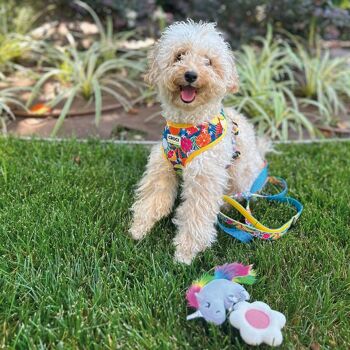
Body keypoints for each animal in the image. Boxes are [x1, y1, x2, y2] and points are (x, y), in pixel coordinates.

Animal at [130, 20, 266, 264]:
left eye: (208, 61)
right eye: (179, 55)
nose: (190, 75)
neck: (186, 128)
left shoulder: (204, 176)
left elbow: (195, 213)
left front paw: (185, 251)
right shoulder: (161, 168)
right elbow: (153, 198)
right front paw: (140, 228)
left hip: (241, 177)